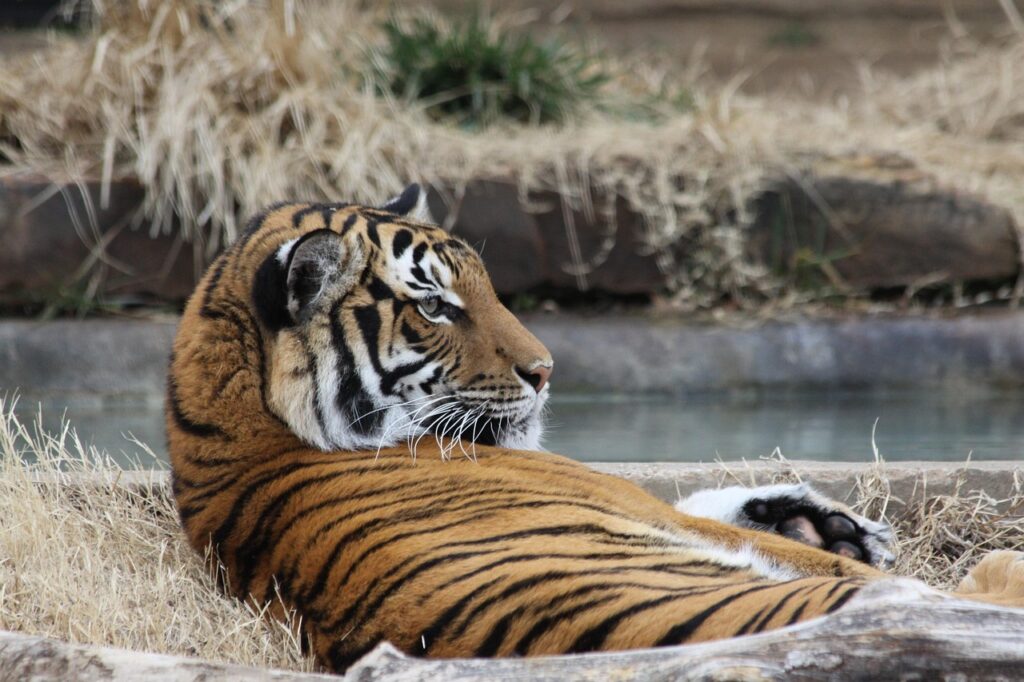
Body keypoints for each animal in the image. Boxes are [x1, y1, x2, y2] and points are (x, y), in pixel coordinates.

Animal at [167, 183, 1024, 671]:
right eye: (435, 306)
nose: (546, 371)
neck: (228, 426)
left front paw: (815, 516)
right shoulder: (630, 501)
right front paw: (820, 529)